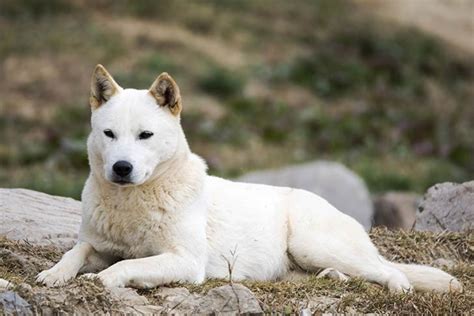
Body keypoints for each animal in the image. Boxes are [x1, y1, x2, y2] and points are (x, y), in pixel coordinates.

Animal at [38, 65, 462, 294]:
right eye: (109, 134)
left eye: (145, 135)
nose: (121, 168)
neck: (132, 204)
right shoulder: (97, 245)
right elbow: (75, 252)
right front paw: (54, 274)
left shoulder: (184, 261)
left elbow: (121, 268)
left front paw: (102, 281)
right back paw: (334, 279)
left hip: (314, 244)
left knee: (388, 270)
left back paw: (398, 287)